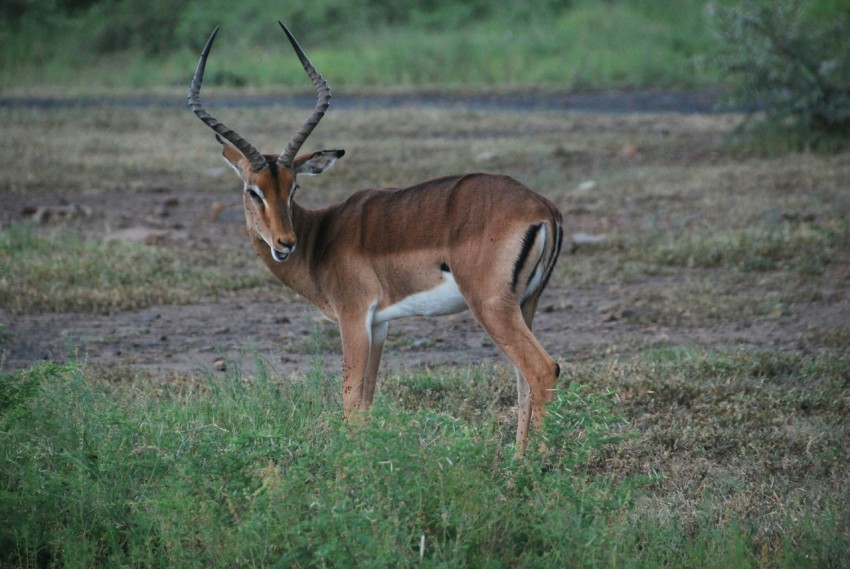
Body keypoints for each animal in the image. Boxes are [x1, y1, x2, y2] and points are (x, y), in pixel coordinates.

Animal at [188, 22, 564, 454]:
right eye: (254, 190)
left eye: (293, 188)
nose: (285, 243)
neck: (320, 237)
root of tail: (543, 207)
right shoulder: (379, 324)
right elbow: (366, 402)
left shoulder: (353, 316)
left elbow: (350, 402)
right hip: (525, 305)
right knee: (523, 381)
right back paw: (517, 460)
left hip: (491, 306)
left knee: (543, 370)